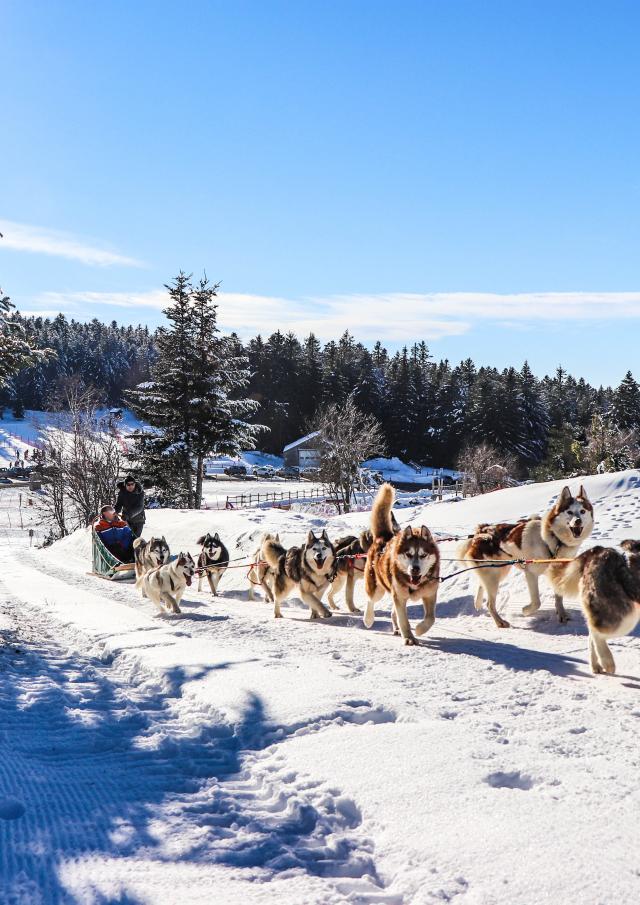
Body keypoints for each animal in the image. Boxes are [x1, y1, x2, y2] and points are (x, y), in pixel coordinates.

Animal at [364, 484, 440, 648]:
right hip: (377, 588)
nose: (415, 569)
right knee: (371, 600)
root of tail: (383, 537)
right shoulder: (400, 596)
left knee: (393, 612)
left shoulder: (430, 594)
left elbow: (431, 618)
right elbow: (403, 619)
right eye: (409, 554)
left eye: (423, 555)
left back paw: (396, 628)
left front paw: (419, 629)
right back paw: (368, 619)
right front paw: (409, 637)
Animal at [460, 484, 596, 624]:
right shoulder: (531, 573)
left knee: (481, 585)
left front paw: (561, 613)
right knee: (489, 603)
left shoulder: (558, 574)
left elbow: (559, 598)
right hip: (494, 577)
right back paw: (500, 622)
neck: (553, 540)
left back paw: (478, 603)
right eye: (569, 512)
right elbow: (537, 602)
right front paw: (525, 611)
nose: (578, 521)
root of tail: (482, 530)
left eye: (582, 511)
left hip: (499, 571)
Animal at [548, 540, 640, 676]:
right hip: (620, 615)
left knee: (592, 632)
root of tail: (599, 550)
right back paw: (607, 662)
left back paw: (596, 665)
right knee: (596, 632)